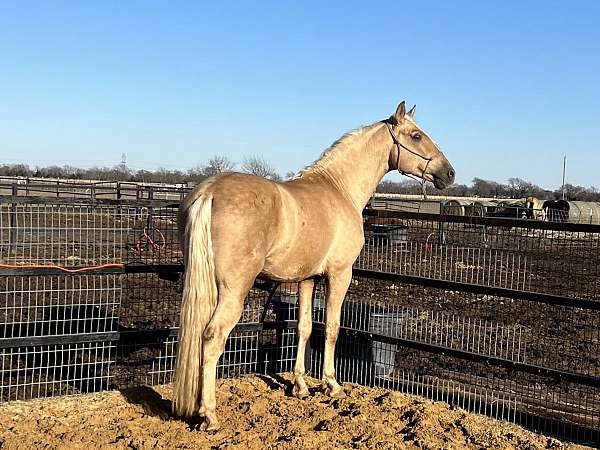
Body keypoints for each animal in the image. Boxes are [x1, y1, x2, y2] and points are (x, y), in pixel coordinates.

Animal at [173, 102, 454, 428]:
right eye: (416, 135)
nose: (449, 172)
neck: (339, 189)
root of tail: (210, 192)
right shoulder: (339, 274)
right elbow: (331, 328)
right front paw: (332, 385)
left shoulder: (308, 279)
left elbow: (304, 327)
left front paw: (300, 386)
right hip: (233, 290)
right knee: (212, 337)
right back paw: (210, 415)